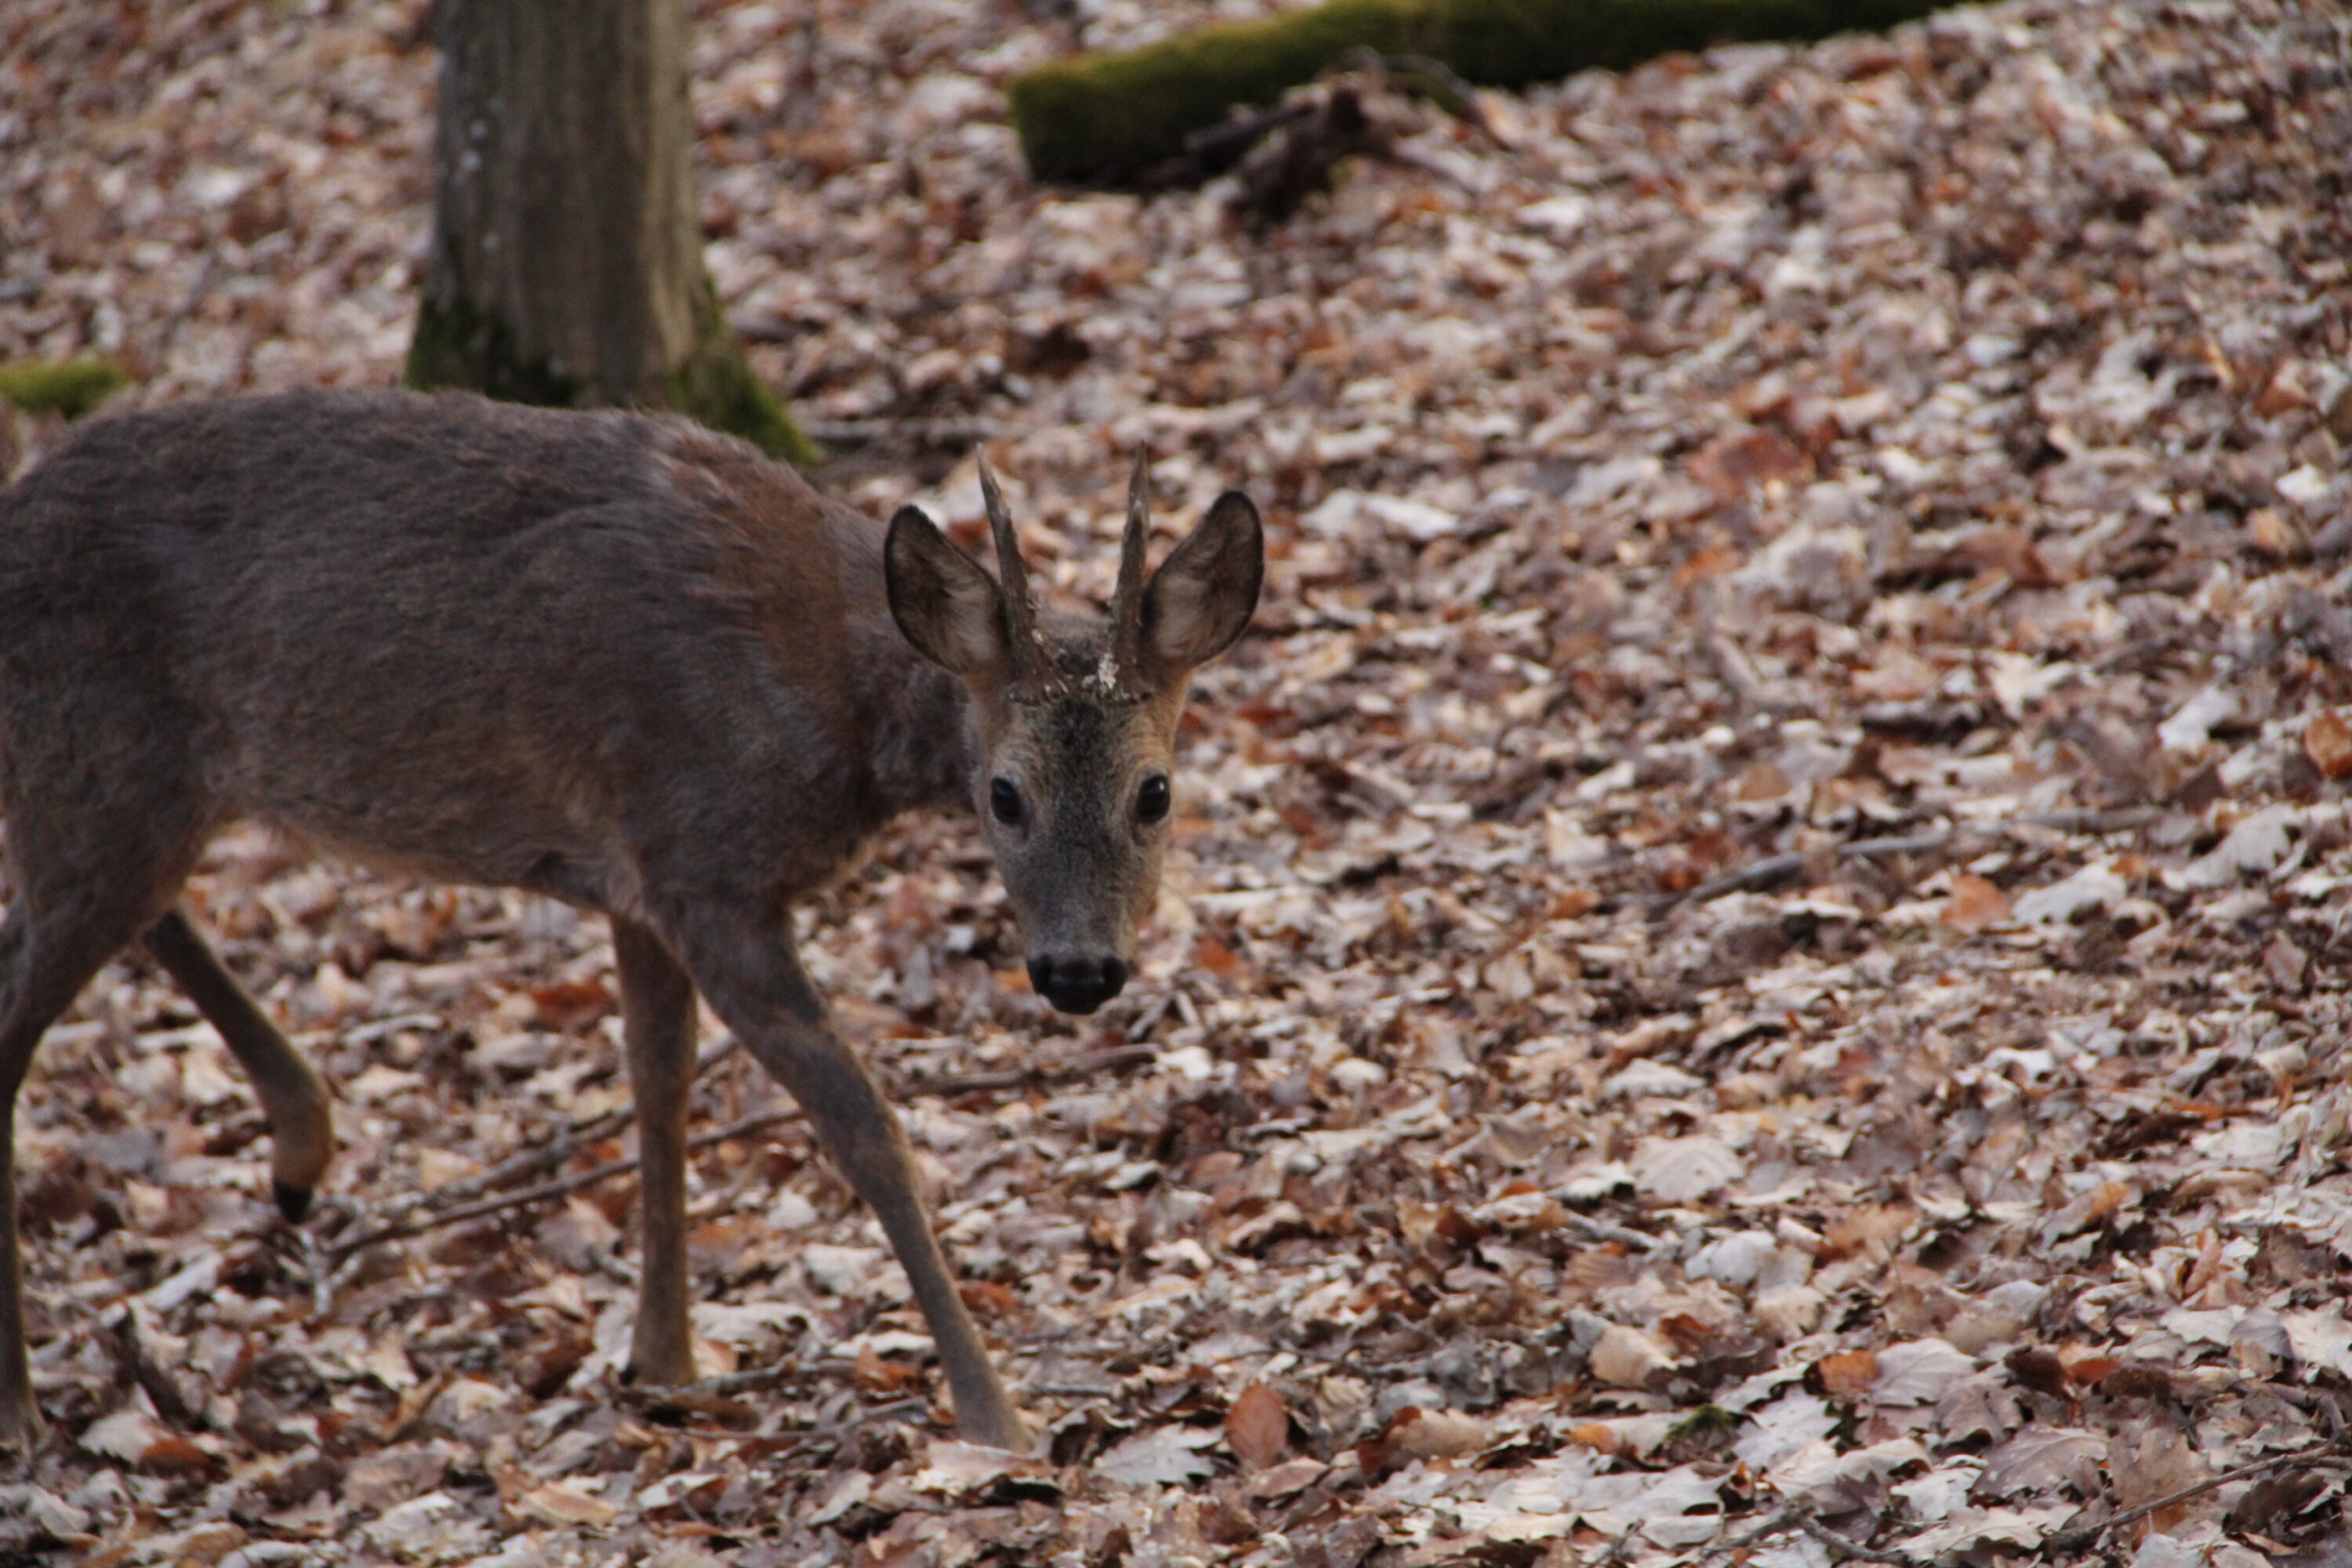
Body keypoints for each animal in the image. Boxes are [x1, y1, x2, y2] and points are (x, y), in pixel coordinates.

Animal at [0, 387, 1263, 1450]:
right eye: (1004, 794)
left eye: (1156, 790)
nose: (1079, 970)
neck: (836, 707)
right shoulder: (706, 866)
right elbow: (862, 1125)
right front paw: (995, 1413)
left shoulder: (641, 880)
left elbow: (660, 1080)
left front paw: (664, 1360)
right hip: (99, 761)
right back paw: (22, 1411)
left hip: (128, 795)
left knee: (119, 917)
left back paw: (302, 1140)